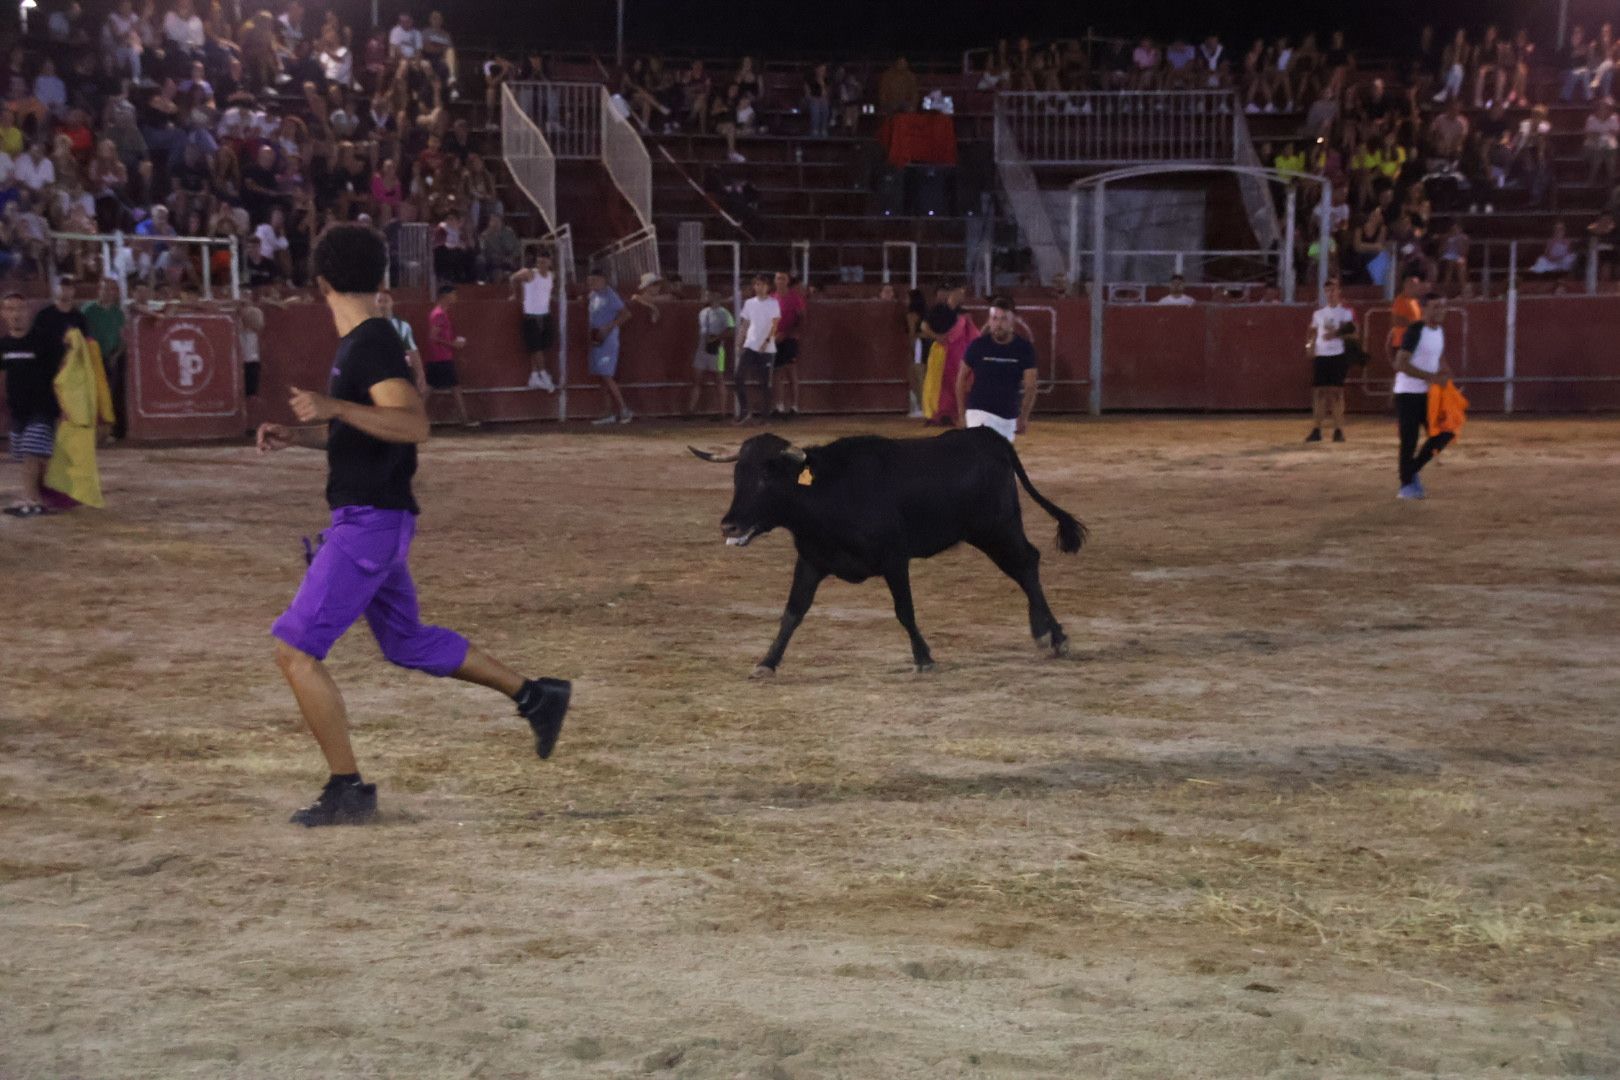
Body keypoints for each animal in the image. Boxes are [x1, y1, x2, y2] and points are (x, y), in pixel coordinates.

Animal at [686, 427, 1088, 676]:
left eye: (767, 477)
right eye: (737, 476)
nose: (729, 526)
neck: (829, 493)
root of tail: (988, 437)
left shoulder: (895, 561)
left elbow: (904, 611)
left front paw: (923, 658)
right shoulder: (811, 562)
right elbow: (792, 613)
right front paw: (767, 662)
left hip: (998, 528)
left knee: (1027, 564)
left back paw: (1052, 636)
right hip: (989, 533)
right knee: (1024, 566)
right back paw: (1049, 633)